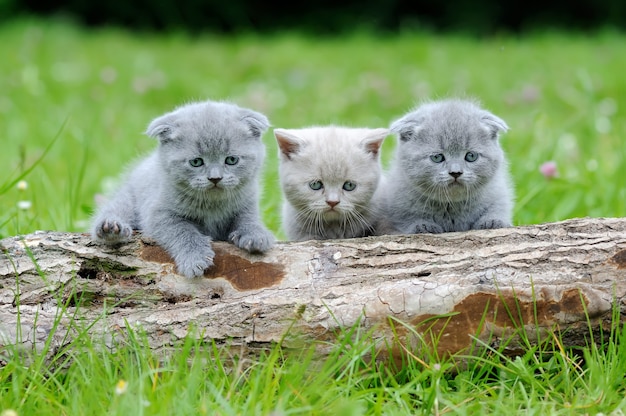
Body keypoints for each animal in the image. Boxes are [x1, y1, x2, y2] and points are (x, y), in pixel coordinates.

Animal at [90, 99, 272, 278]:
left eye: (232, 160)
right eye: (196, 162)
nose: (215, 178)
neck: (213, 205)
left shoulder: (248, 201)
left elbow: (248, 218)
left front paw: (256, 235)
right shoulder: (158, 213)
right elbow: (182, 230)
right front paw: (195, 258)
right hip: (129, 197)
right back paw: (111, 228)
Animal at [380, 98, 512, 234]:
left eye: (471, 156)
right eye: (437, 157)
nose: (456, 172)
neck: (452, 205)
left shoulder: (497, 193)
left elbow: (496, 209)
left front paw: (492, 222)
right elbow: (408, 218)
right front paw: (422, 226)